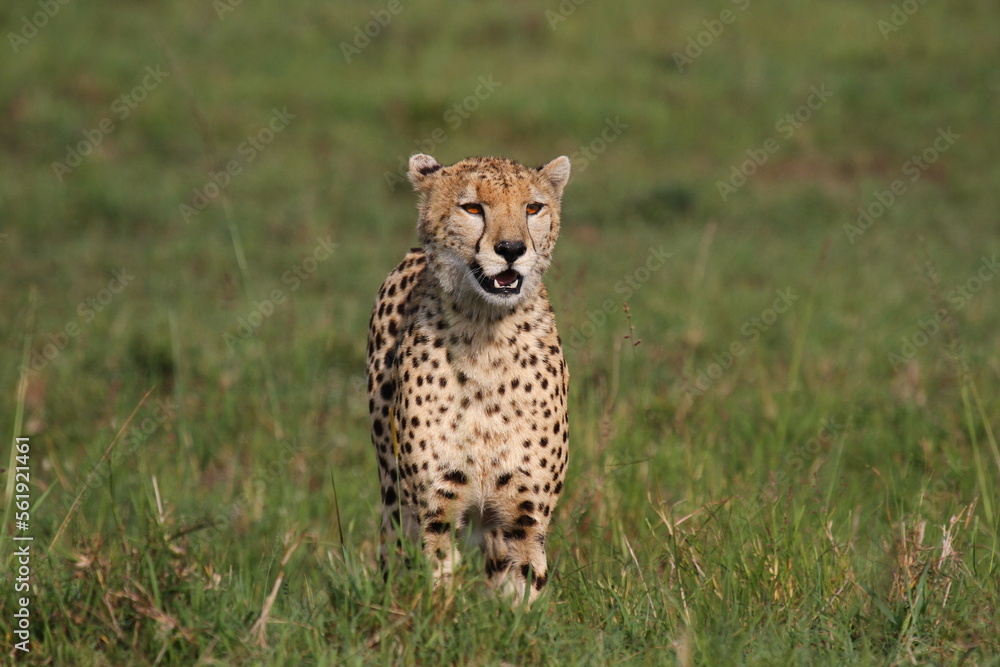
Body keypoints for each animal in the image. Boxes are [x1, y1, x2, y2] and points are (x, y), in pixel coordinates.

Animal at [366, 153, 571, 604]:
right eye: (473, 208)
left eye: (533, 208)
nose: (511, 249)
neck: (486, 334)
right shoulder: (435, 511)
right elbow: (439, 580)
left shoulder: (523, 518)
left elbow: (523, 591)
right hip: (392, 490)